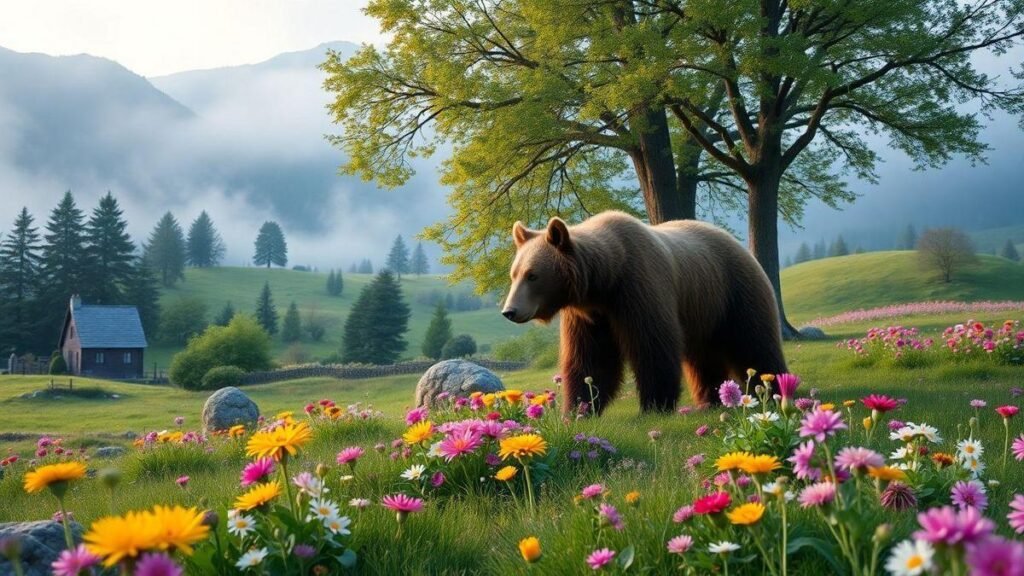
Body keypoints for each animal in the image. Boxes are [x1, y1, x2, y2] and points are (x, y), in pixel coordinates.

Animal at [501, 211, 787, 413]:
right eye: (514, 274)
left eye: (532, 275)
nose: (509, 311)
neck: (605, 282)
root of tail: (739, 245)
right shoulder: (588, 317)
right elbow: (589, 360)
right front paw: (579, 409)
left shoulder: (640, 289)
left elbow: (652, 346)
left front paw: (654, 405)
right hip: (703, 311)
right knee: (704, 357)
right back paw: (711, 398)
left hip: (734, 294)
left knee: (754, 343)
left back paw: (774, 388)